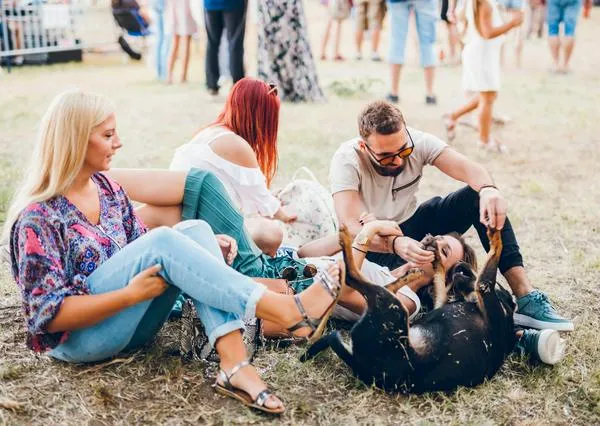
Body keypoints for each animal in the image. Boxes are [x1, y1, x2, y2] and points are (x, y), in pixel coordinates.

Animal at [302, 225, 516, 394]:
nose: (460, 265)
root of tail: (360, 365)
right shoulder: (441, 301)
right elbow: (439, 280)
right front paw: (436, 258)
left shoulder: (485, 289)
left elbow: (493, 260)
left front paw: (495, 234)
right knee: (382, 285)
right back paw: (409, 274)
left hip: (394, 308)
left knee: (352, 277)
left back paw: (347, 237)